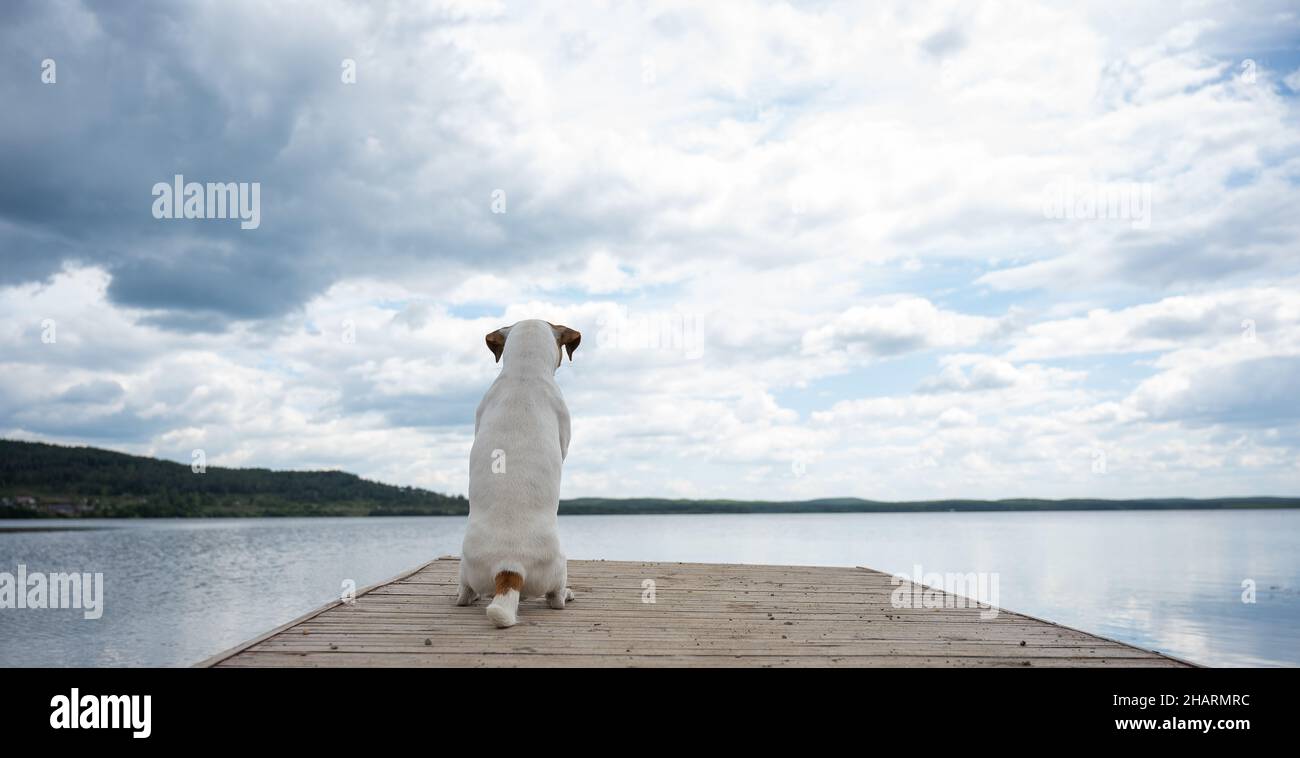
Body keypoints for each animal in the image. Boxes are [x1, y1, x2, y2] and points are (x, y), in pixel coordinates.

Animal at [457, 319, 579, 629]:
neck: (524, 375)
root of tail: (509, 567)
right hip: (559, 565)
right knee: (555, 598)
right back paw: (566, 595)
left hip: (465, 563)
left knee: (464, 592)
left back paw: (468, 596)